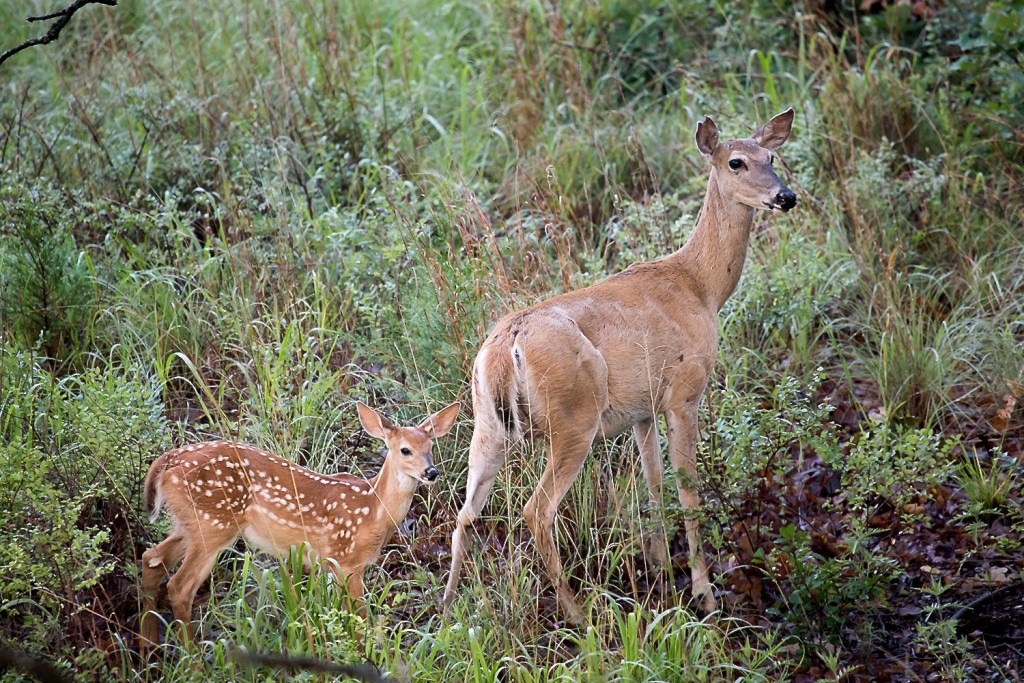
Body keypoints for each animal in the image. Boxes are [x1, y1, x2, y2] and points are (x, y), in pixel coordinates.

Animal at [138, 403, 458, 651]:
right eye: (405, 450)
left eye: (430, 448)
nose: (431, 472)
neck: (372, 510)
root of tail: (167, 461)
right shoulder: (347, 561)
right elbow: (358, 618)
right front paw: (364, 655)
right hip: (213, 523)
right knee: (180, 586)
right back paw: (192, 660)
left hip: (188, 522)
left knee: (151, 557)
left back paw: (148, 648)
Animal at [444, 107, 794, 618]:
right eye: (736, 162)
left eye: (771, 157)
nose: (786, 195)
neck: (701, 286)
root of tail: (507, 348)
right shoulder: (684, 391)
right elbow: (688, 489)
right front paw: (704, 592)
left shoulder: (642, 409)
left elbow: (653, 481)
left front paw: (660, 563)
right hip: (573, 419)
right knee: (536, 510)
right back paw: (577, 612)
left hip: (487, 426)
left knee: (466, 513)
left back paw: (449, 609)